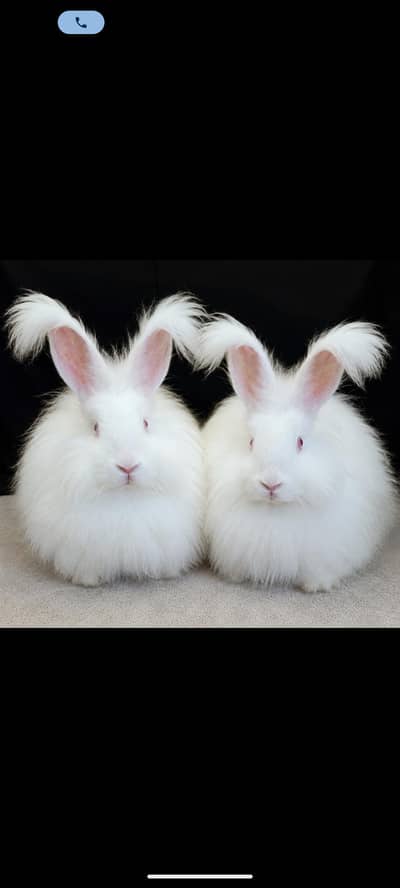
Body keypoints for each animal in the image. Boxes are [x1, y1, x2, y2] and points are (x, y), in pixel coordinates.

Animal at [5, 291, 206, 586]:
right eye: (95, 427)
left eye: (145, 423)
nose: (127, 466)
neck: (124, 497)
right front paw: (88, 581)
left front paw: (163, 575)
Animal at [197, 314, 398, 592]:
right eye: (251, 442)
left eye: (300, 442)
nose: (271, 483)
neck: (276, 511)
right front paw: (235, 577)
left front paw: (315, 587)